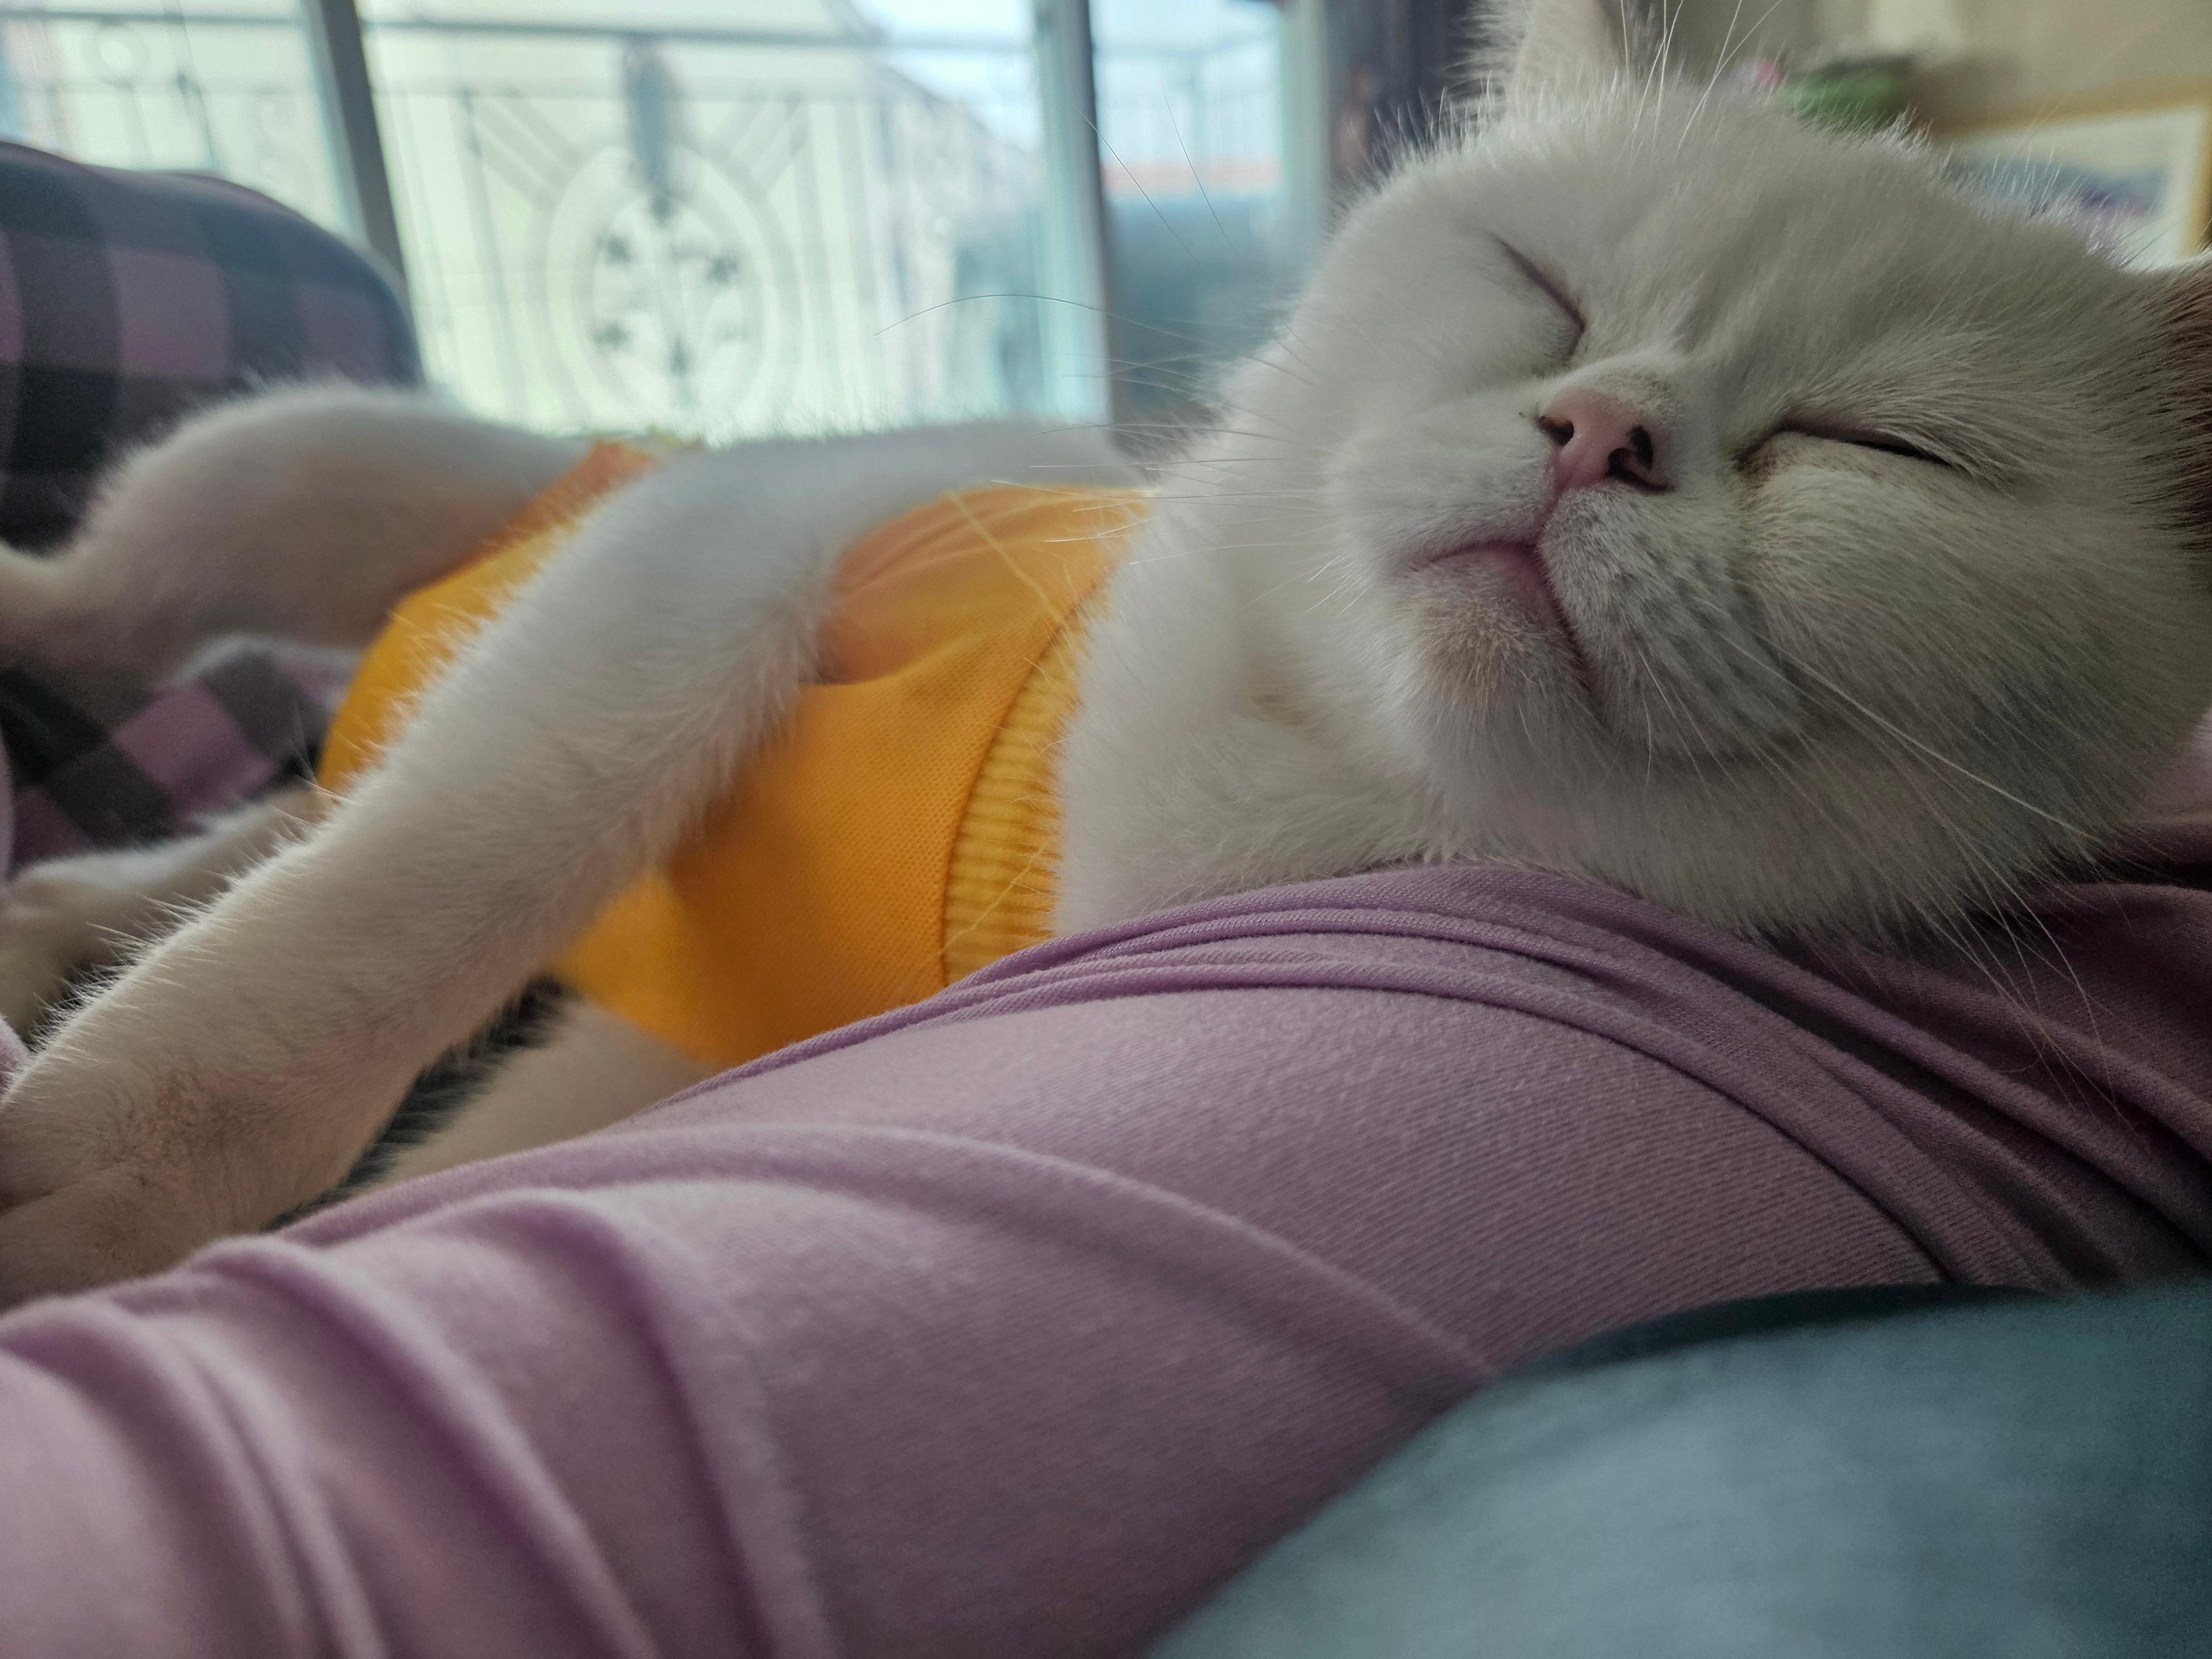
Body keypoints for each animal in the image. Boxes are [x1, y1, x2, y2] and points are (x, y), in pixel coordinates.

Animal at [0, 0, 2207, 1301]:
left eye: (1880, 450)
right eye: (1538, 285)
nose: (1598, 430)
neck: (1230, 788)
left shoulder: (672, 1043)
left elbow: (483, 1149)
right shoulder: (749, 536)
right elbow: (483, 832)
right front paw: (110, 1160)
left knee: (266, 805)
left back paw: (62, 909)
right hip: (303, 469)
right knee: (161, 641)